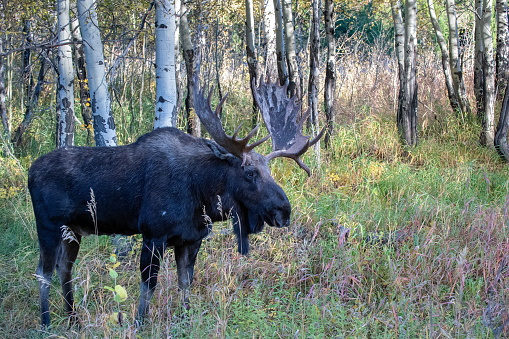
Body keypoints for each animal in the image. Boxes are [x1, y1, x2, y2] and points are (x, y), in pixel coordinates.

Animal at [27, 78, 324, 328]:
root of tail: (30, 171)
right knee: (43, 272)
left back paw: (73, 320)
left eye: (270, 171)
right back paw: (46, 323)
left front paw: (186, 318)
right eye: (250, 173)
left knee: (65, 269)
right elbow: (149, 283)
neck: (202, 194)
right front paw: (139, 323)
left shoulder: (191, 239)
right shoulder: (153, 234)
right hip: (48, 227)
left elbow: (185, 281)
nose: (284, 211)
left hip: (73, 231)